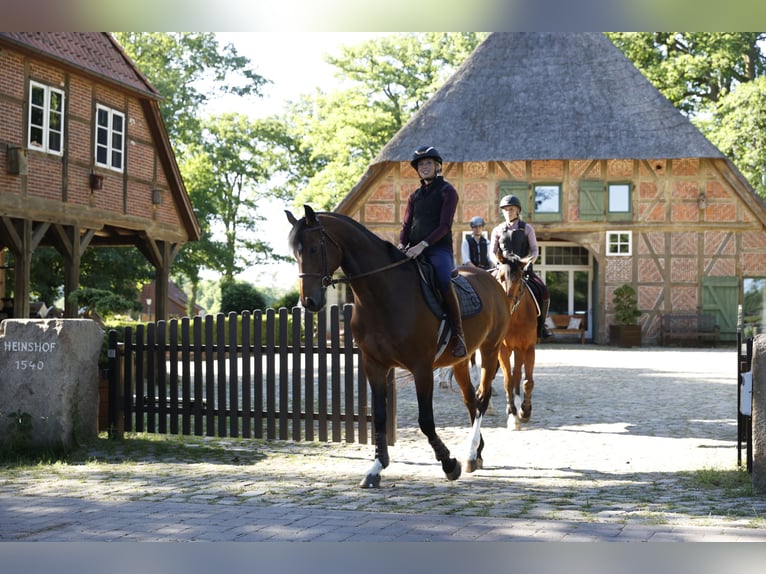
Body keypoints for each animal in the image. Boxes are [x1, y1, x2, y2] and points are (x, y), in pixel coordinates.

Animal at [286, 205, 510, 488]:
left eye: (314, 248)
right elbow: (380, 418)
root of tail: (490, 280)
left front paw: (449, 463)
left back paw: (469, 454)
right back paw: (476, 453)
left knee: (481, 400)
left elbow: (425, 420)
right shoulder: (374, 365)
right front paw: (376, 468)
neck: (382, 294)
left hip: (490, 350)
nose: (309, 302)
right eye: (295, 252)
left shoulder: (421, 368)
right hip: (460, 360)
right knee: (470, 401)